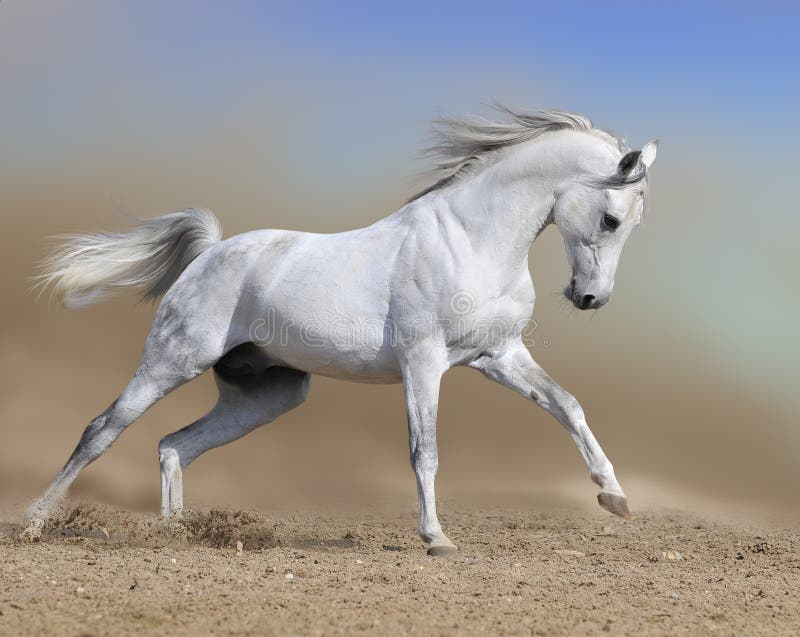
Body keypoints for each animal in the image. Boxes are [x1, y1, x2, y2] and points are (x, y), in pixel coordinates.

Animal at [25, 105, 656, 552]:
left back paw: (176, 535)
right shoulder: (423, 362)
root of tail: (210, 252)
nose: (591, 298)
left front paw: (615, 497)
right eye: (611, 219)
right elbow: (424, 450)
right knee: (102, 430)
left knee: (175, 445)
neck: (472, 239)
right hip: (172, 361)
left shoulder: (498, 356)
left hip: (268, 395)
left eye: (630, 224)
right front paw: (436, 539)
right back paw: (34, 524)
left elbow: (567, 405)